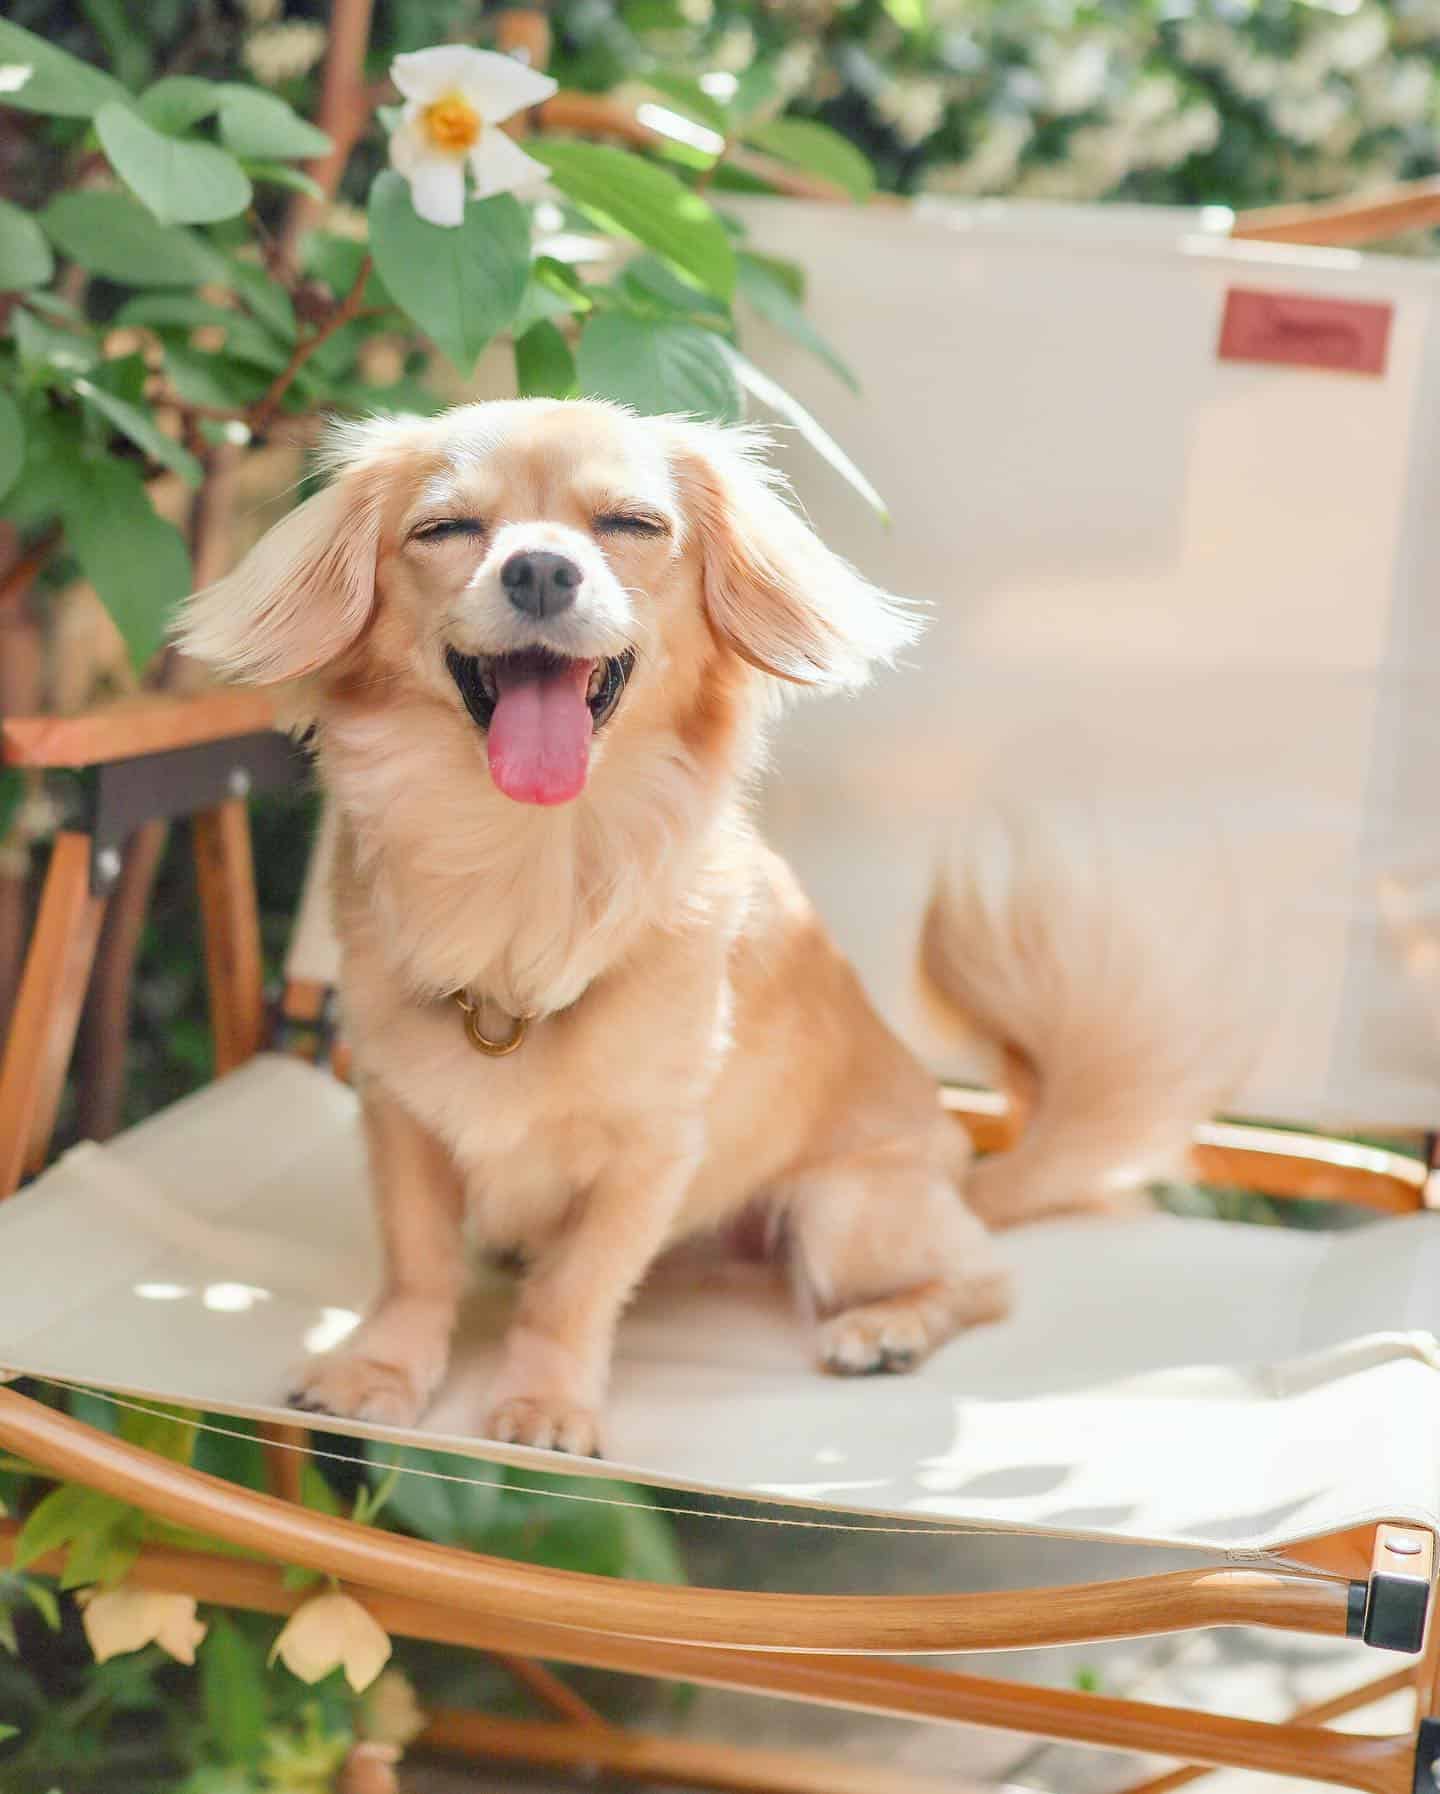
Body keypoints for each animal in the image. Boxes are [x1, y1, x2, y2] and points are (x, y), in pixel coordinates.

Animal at [177, 396, 1240, 1456]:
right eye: (446, 530)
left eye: (632, 525)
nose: (540, 567)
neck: (530, 858)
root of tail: (961, 1171)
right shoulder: (400, 1113)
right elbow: (417, 1263)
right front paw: (382, 1370)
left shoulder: (650, 1153)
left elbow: (575, 1291)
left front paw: (545, 1403)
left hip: (845, 1209)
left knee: (981, 1280)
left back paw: (885, 1329)